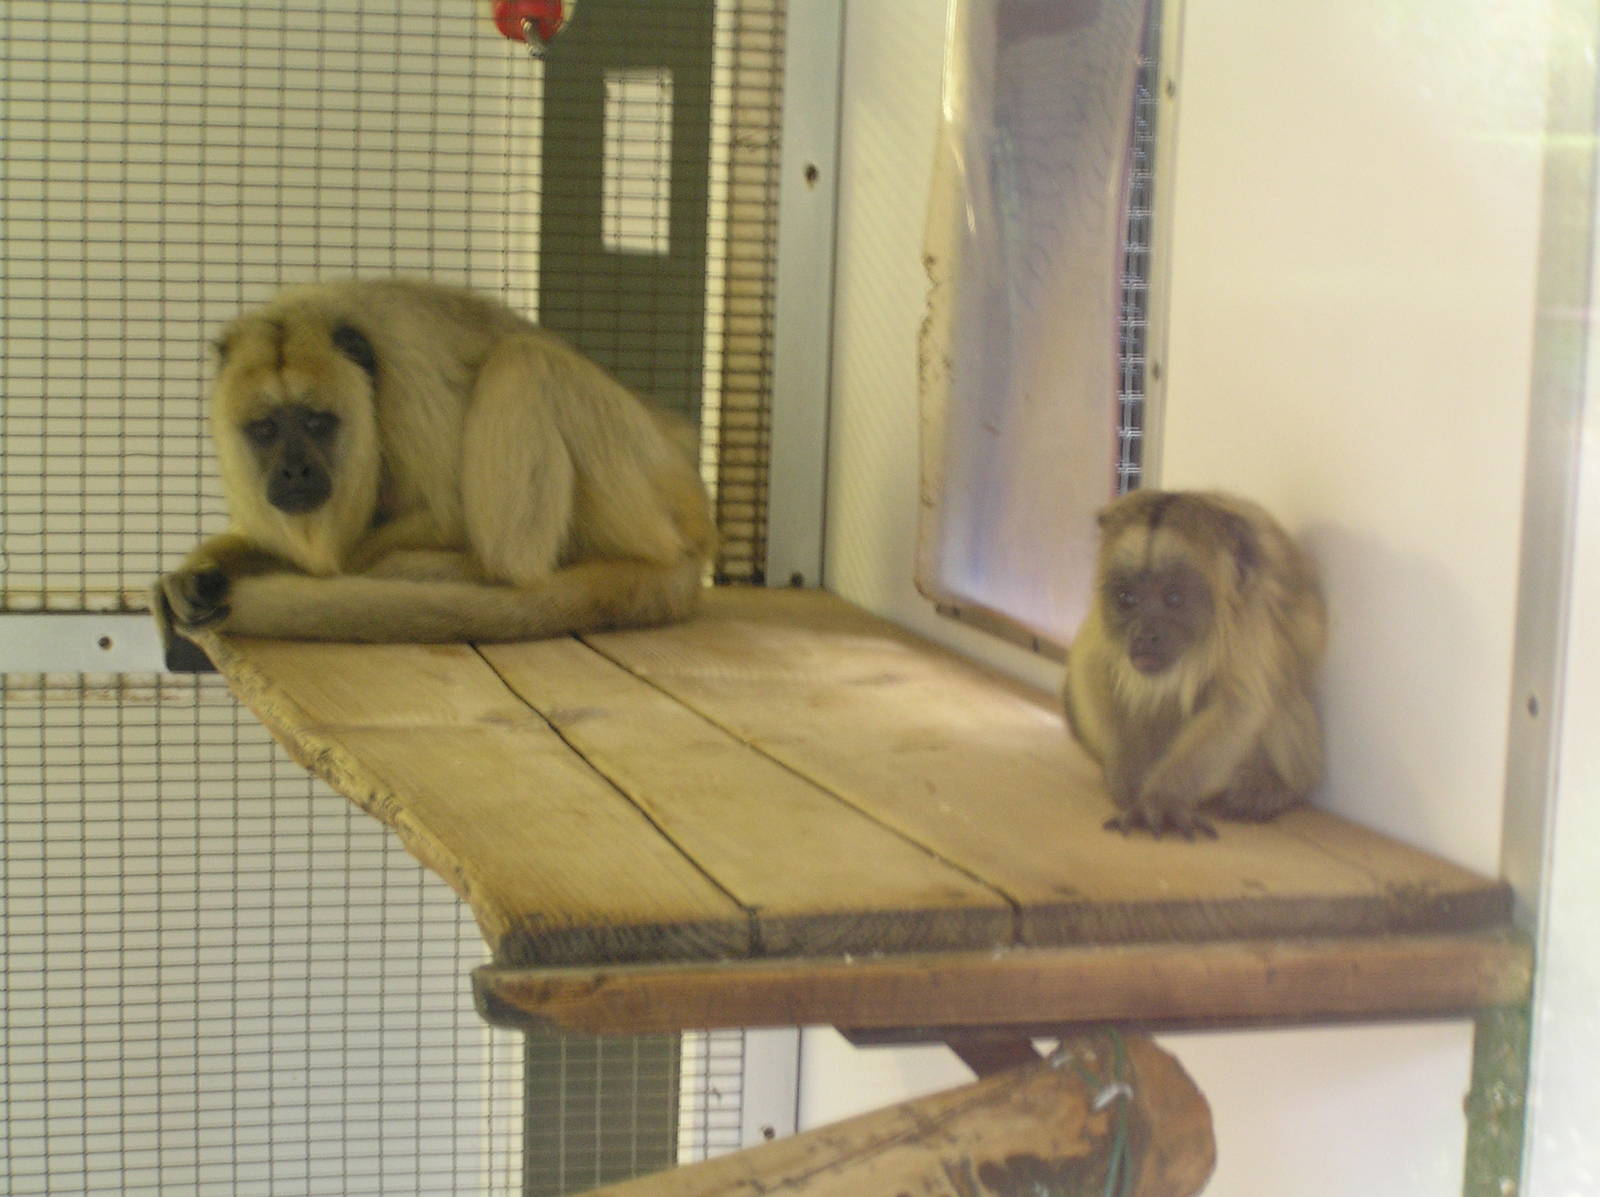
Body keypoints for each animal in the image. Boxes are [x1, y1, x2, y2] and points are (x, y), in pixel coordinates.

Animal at [154, 278, 717, 644]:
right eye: (266, 429)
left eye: (316, 422)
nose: (294, 471)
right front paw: (197, 572)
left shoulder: (410, 374)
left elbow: (445, 516)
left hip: (651, 491)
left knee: (526, 360)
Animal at [1061, 489, 1326, 839]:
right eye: (1126, 597)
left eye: (1174, 598)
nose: (1145, 634)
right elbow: (1090, 665)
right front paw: (1125, 776)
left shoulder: (1251, 611)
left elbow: (1238, 705)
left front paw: (1161, 799)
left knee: (1282, 694)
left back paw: (1271, 789)